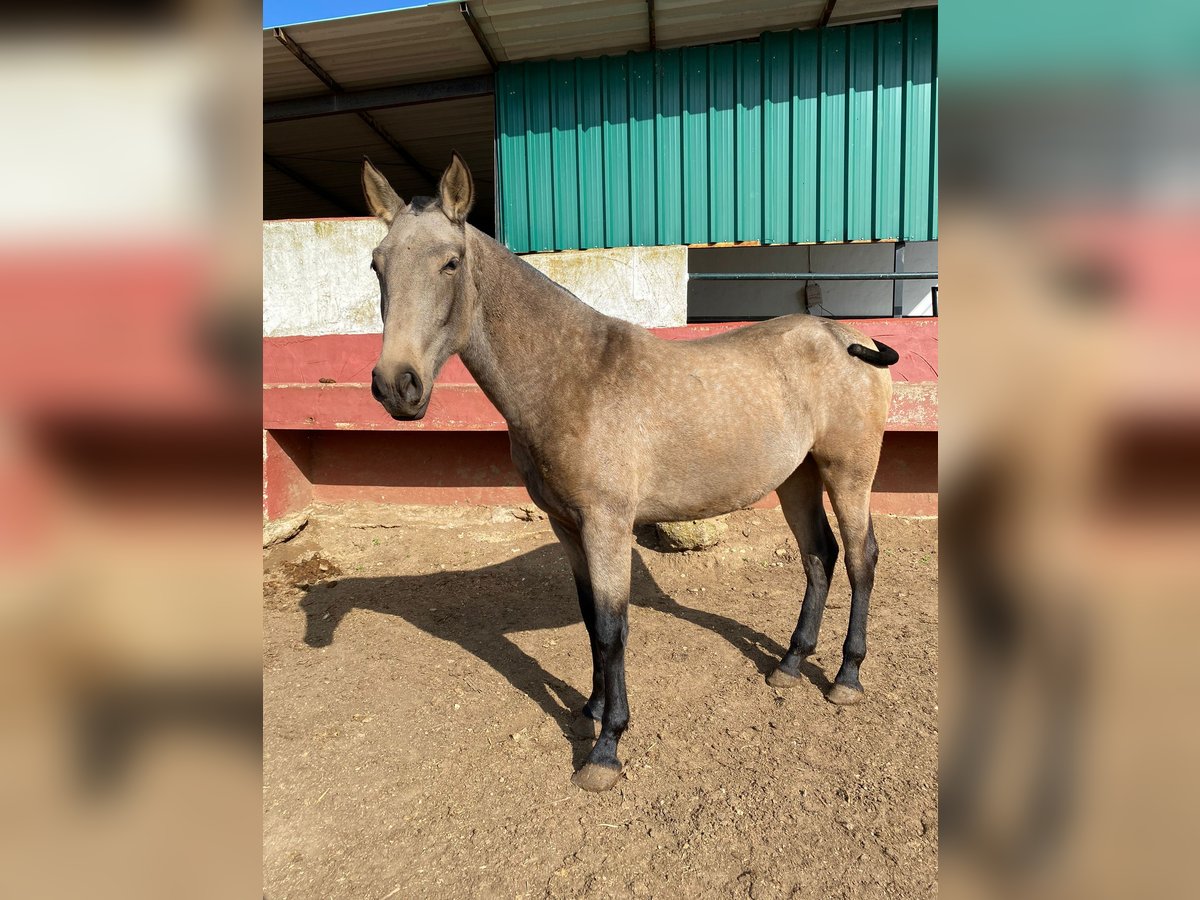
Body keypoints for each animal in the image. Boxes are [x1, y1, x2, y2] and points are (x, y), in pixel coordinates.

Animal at [360, 154, 897, 796]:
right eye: (377, 264)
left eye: (451, 261)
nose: (397, 385)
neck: (573, 377)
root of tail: (849, 337)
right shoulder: (568, 527)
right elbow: (593, 622)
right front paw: (590, 709)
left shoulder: (607, 527)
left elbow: (614, 628)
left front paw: (606, 747)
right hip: (797, 478)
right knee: (819, 557)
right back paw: (790, 664)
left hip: (849, 474)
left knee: (861, 557)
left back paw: (846, 676)